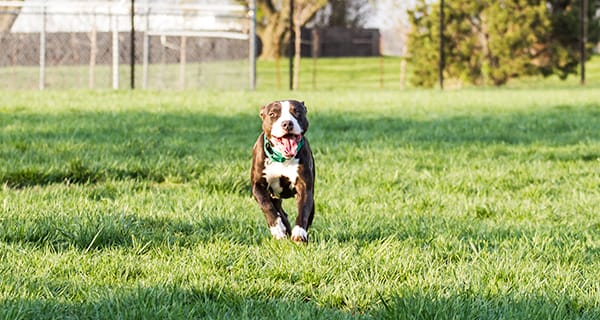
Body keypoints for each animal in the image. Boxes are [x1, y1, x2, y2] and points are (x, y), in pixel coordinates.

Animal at [250, 100, 314, 242]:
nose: (287, 123)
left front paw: (299, 233)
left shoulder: (304, 186)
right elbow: (266, 204)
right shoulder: (258, 186)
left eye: (297, 112)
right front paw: (277, 228)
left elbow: (303, 210)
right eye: (272, 114)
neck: (282, 158)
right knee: (279, 211)